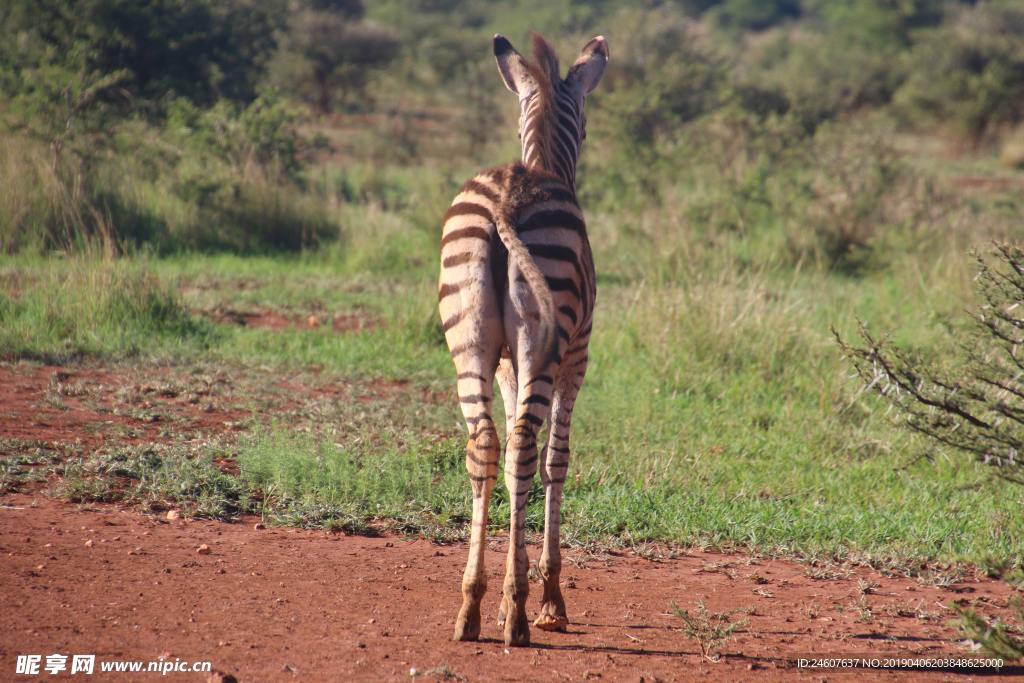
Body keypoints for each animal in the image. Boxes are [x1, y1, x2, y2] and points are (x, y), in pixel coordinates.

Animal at [438, 31, 606, 651]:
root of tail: (509, 196)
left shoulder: (509, 366)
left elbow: (514, 452)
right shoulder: (576, 358)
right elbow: (558, 459)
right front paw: (551, 598)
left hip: (469, 342)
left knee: (488, 444)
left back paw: (472, 607)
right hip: (546, 347)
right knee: (527, 449)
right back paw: (516, 617)